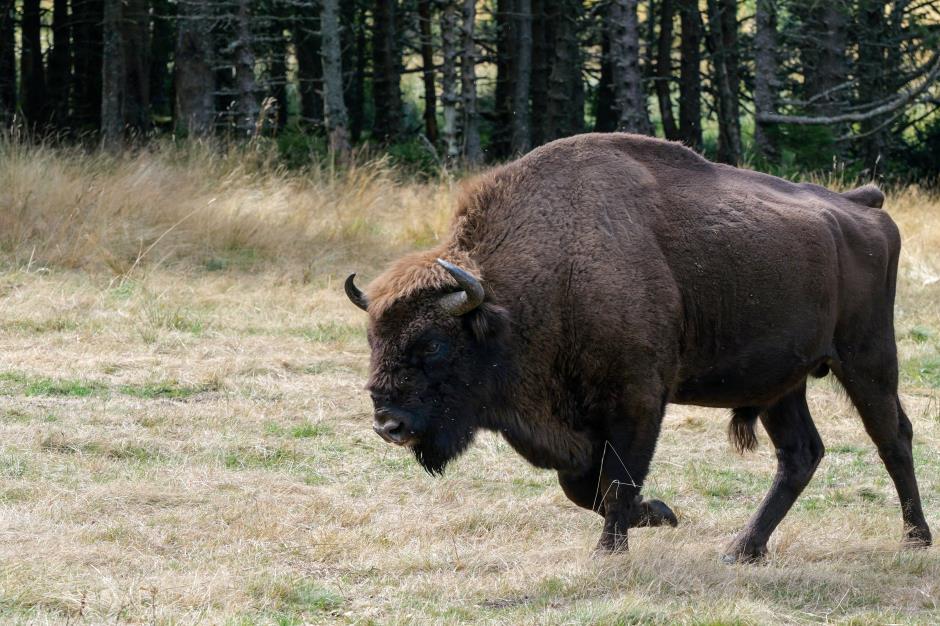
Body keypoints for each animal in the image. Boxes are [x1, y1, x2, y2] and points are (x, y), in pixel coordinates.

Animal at [346, 133, 932, 560]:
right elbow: (583, 486)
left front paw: (613, 547)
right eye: (373, 338)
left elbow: (614, 481)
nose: (388, 424)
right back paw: (743, 549)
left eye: (432, 345)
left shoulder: (638, 401)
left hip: (867, 360)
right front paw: (659, 514)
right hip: (780, 384)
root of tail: (862, 207)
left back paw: (915, 538)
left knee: (893, 437)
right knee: (800, 454)